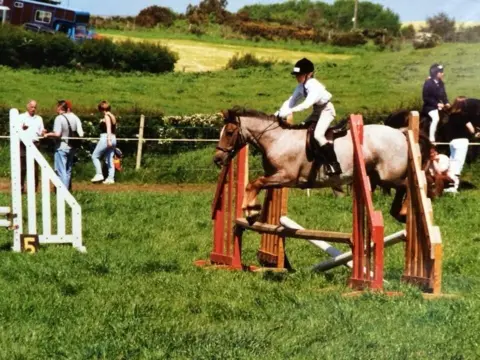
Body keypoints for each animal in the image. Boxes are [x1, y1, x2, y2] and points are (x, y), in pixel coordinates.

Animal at [214, 108, 424, 224]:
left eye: (230, 132)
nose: (217, 159)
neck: (277, 140)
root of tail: (400, 132)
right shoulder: (275, 177)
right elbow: (256, 185)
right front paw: (253, 211)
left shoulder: (286, 176)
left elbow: (255, 183)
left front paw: (250, 210)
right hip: (379, 177)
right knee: (402, 188)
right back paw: (398, 213)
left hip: (389, 175)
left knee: (408, 185)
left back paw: (403, 212)